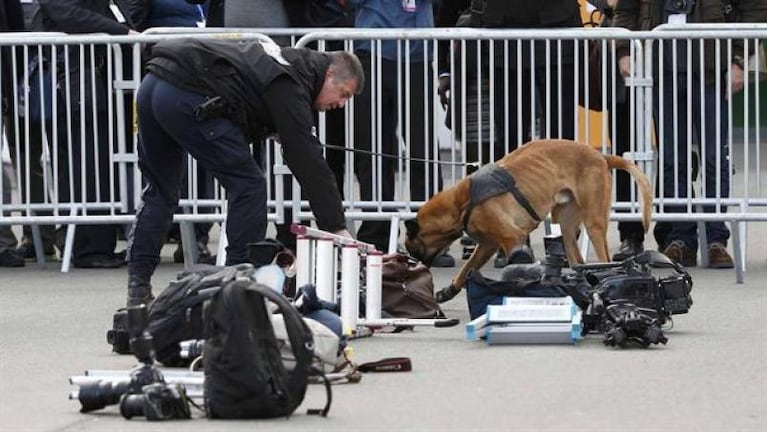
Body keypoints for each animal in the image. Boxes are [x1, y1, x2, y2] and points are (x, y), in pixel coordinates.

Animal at [404, 140, 652, 302]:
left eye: (410, 248)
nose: (417, 268)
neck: (462, 202)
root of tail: (601, 156)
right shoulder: (487, 245)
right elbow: (466, 268)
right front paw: (450, 290)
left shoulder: (512, 237)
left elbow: (513, 266)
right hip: (565, 225)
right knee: (578, 261)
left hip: (593, 224)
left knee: (604, 260)